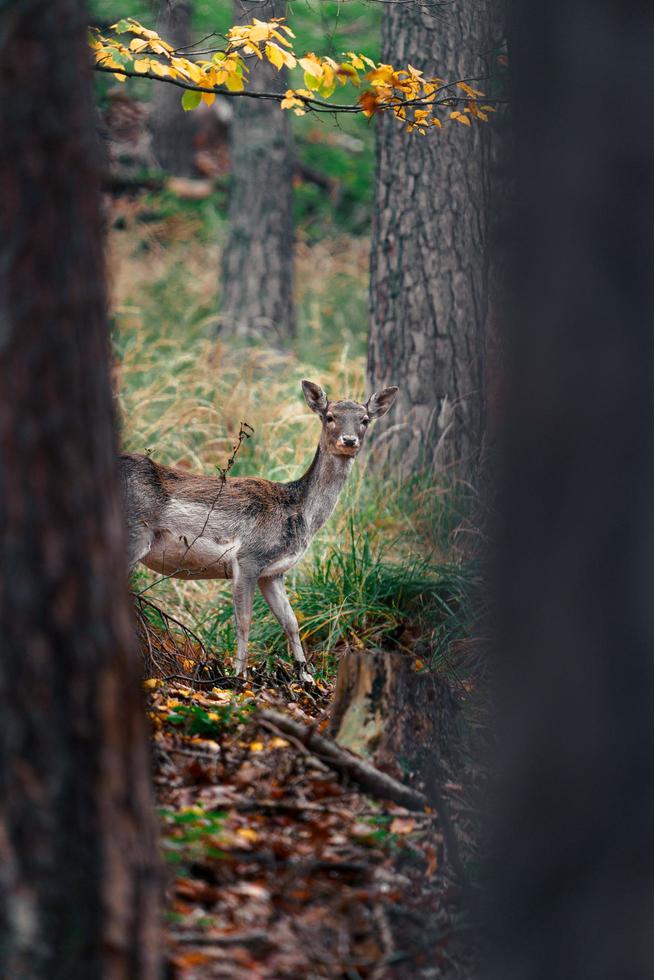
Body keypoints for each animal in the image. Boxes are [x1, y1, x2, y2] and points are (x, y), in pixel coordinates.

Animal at [122, 380, 400, 680]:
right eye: (329, 417)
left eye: (365, 420)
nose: (349, 440)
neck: (300, 513)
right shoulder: (248, 557)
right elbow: (244, 621)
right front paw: (238, 676)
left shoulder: (273, 572)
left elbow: (291, 621)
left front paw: (306, 676)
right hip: (134, 533)